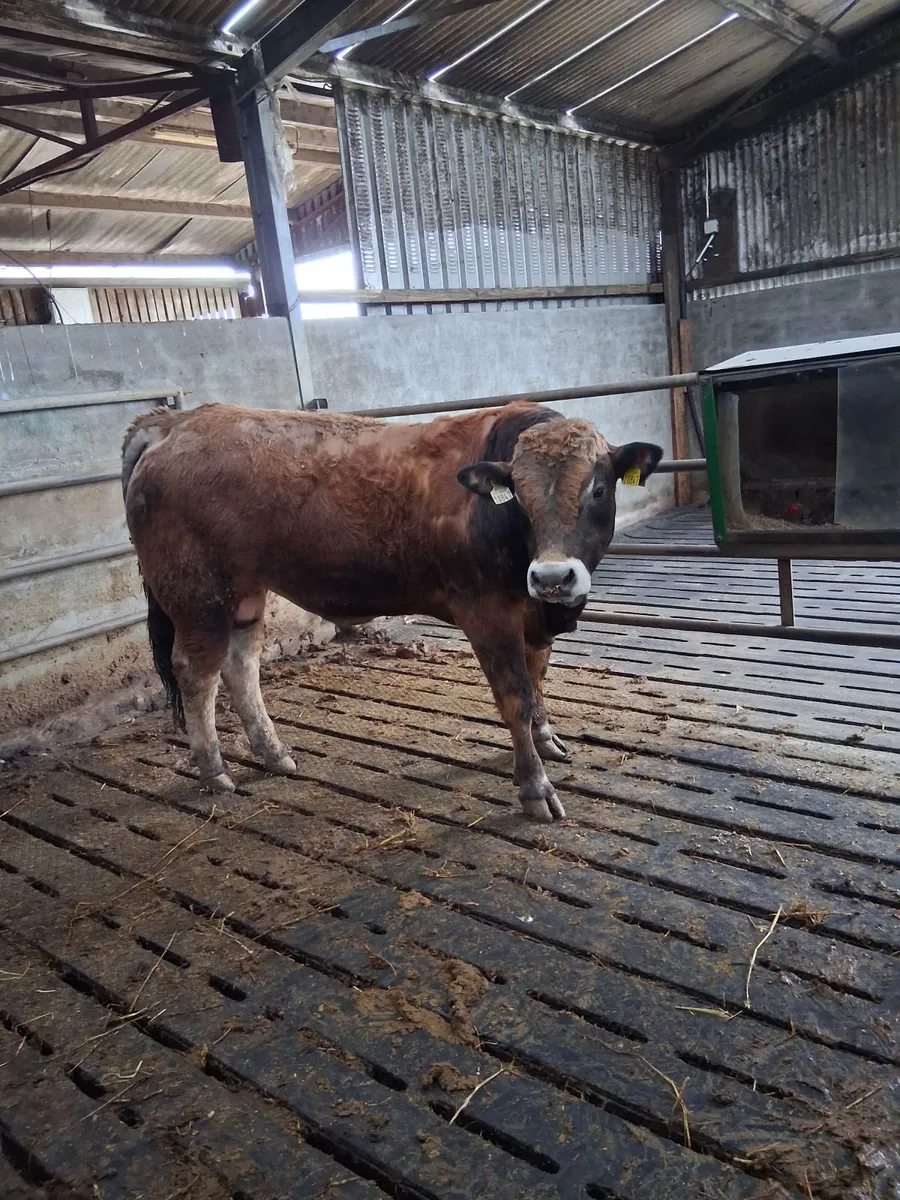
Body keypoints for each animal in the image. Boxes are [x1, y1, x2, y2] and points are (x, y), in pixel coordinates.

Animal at [122, 401, 662, 823]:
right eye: (521, 499)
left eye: (598, 489)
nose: (552, 577)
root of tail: (176, 422)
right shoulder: (487, 614)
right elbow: (516, 697)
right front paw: (535, 786)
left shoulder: (534, 618)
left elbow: (538, 680)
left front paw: (547, 738)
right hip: (198, 595)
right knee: (196, 672)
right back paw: (215, 769)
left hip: (245, 595)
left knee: (241, 667)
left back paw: (274, 753)